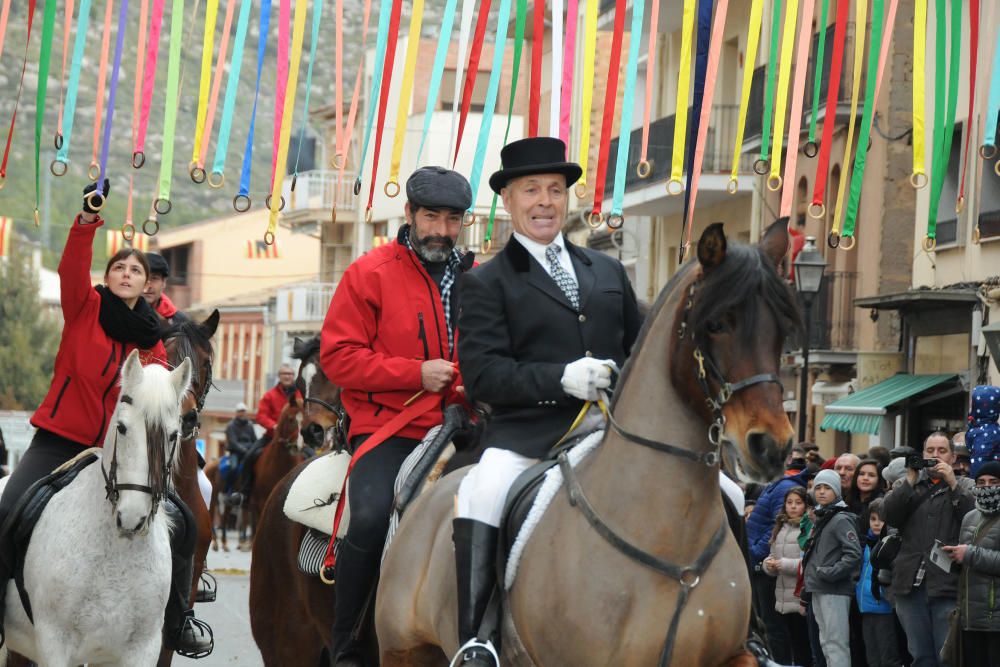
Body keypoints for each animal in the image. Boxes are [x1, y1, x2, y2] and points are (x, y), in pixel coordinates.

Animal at [372, 222, 800, 664]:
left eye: (782, 329)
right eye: (716, 324)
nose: (772, 446)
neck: (671, 545)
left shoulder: (731, 655)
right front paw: (586, 376)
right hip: (404, 650)